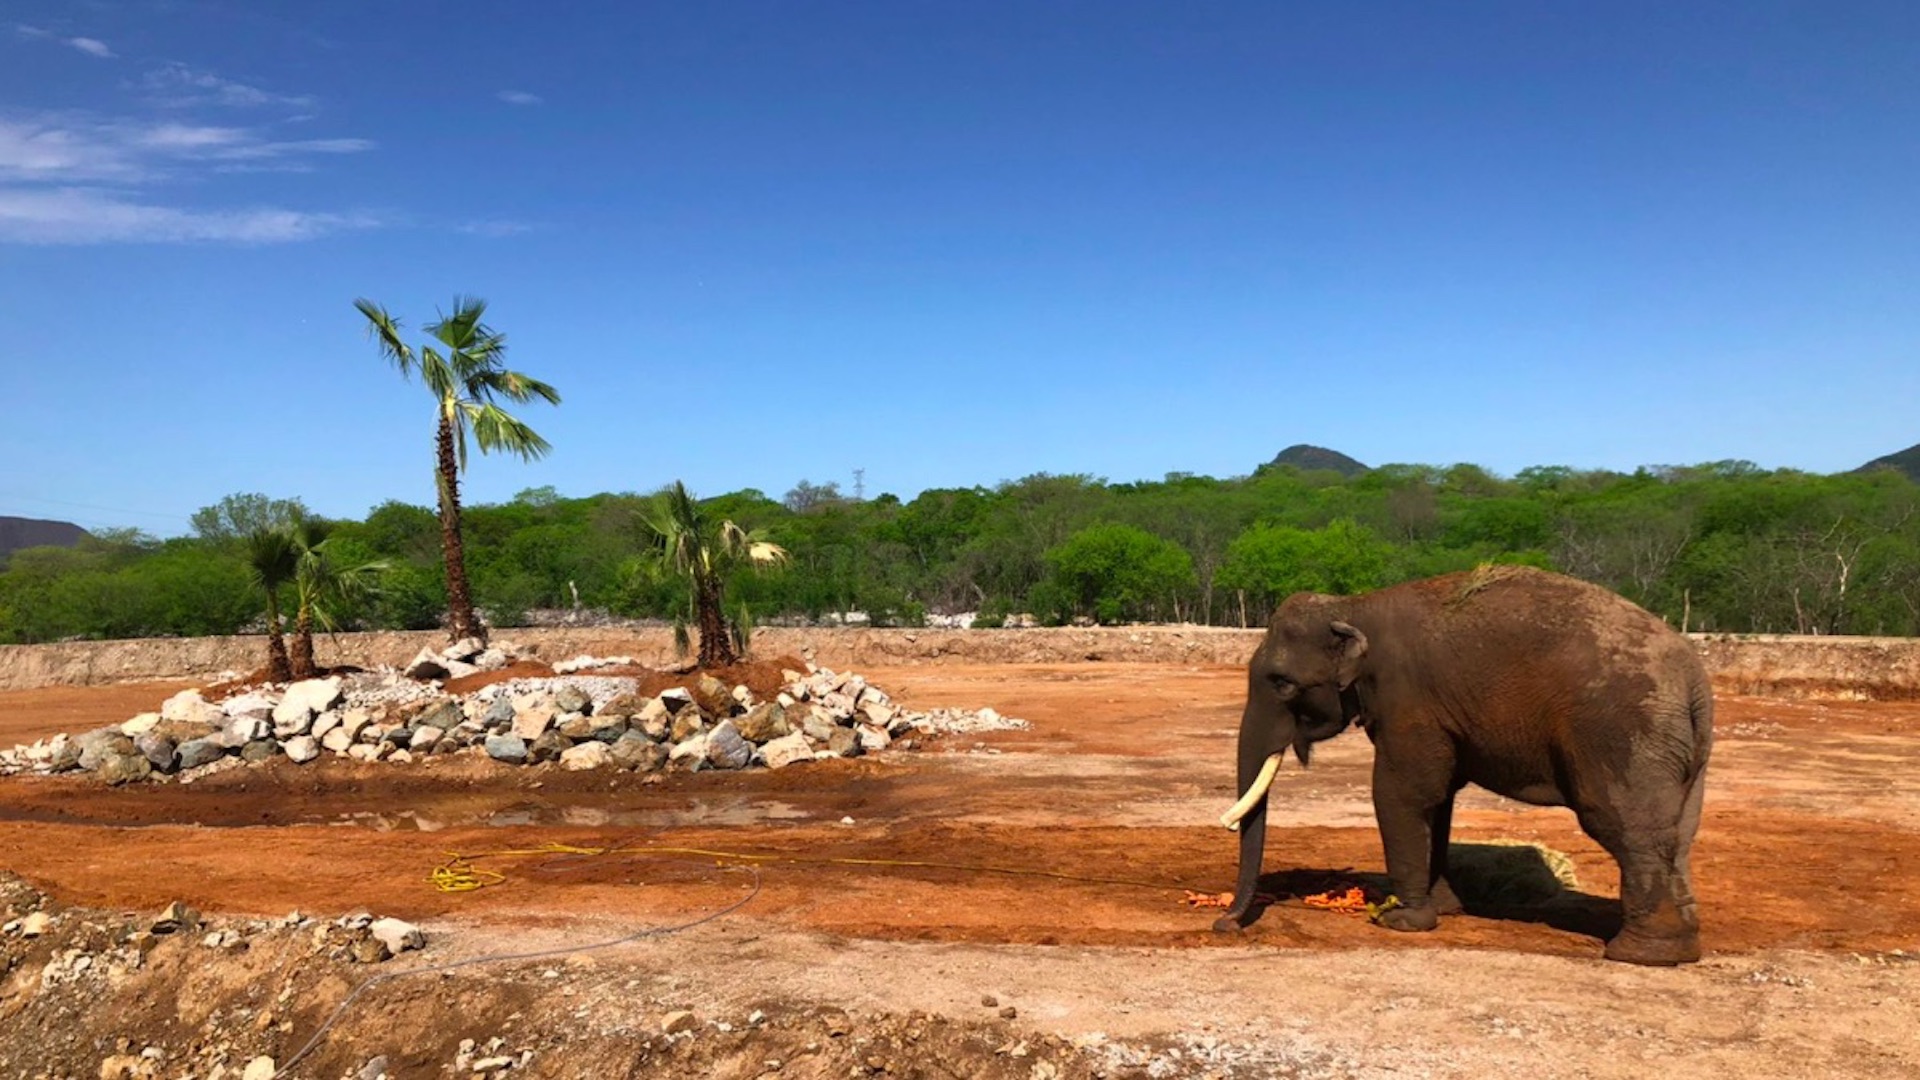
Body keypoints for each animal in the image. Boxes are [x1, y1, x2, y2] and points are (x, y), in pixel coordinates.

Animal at [1215, 566, 1713, 966]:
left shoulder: (1409, 701)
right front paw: (1445, 908)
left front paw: (1401, 921)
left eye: (1281, 683)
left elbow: (1401, 793)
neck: (1354, 605)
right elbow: (1439, 801)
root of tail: (1694, 680)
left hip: (1620, 735)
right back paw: (1681, 946)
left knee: (1628, 828)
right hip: (1683, 751)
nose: (1224, 924)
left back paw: (1640, 954)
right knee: (1681, 832)